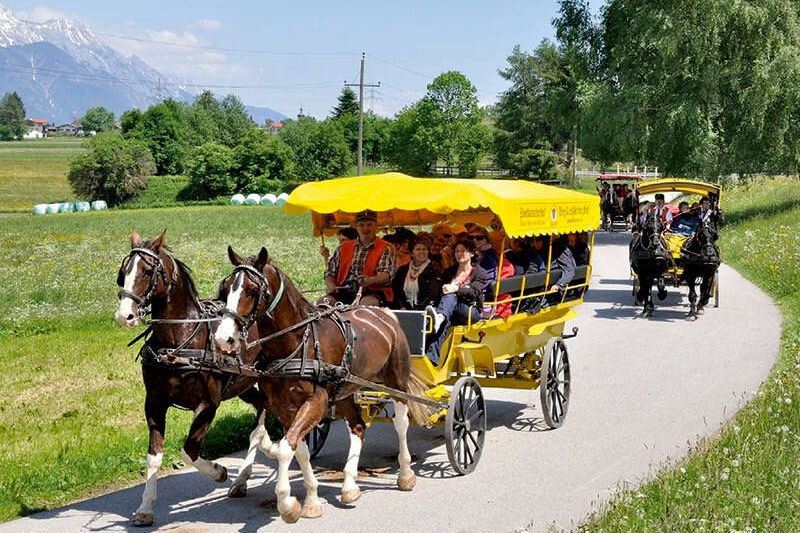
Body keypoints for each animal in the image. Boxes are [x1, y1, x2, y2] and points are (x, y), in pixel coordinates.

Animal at [112, 231, 276, 524]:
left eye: (148, 270)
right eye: (123, 272)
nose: (125, 315)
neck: (179, 341)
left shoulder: (208, 404)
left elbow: (188, 451)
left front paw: (219, 471)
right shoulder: (154, 403)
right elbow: (154, 456)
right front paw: (145, 507)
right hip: (243, 383)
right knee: (260, 409)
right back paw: (249, 470)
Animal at [212, 247, 434, 520]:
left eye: (252, 290)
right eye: (226, 288)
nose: (224, 339)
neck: (296, 343)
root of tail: (385, 313)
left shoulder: (316, 401)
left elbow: (285, 447)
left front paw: (287, 503)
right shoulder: (285, 406)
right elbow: (297, 448)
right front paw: (311, 500)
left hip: (396, 380)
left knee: (401, 422)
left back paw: (405, 474)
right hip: (345, 390)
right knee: (358, 426)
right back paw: (349, 485)